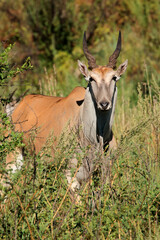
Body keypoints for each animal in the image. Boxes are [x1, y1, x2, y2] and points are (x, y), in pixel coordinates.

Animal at [5, 30, 128, 191]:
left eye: (114, 77)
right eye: (91, 79)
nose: (104, 104)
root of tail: (17, 108)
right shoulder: (70, 174)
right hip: (13, 159)